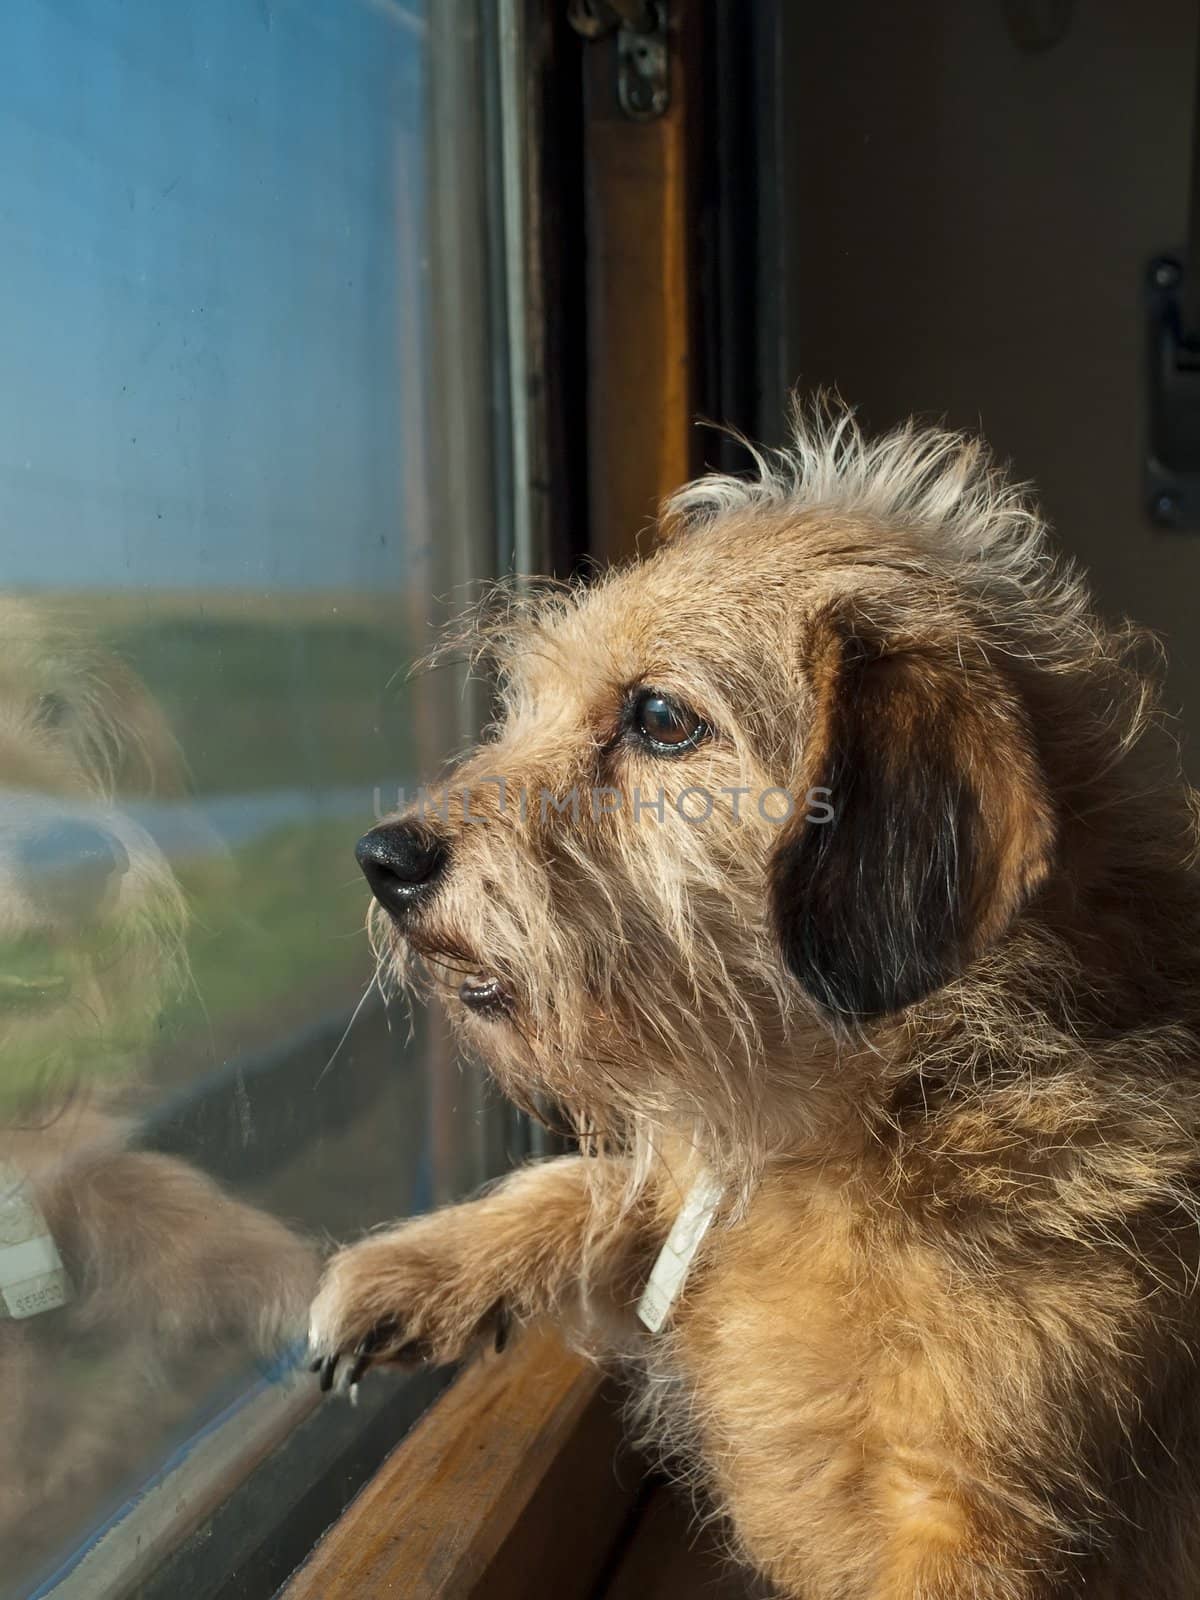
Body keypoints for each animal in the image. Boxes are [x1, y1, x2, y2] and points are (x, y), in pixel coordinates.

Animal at [310, 406, 1200, 1593]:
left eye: (659, 717)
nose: (383, 859)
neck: (889, 1114)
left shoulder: (970, 1535)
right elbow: (597, 1182)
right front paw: (415, 1267)